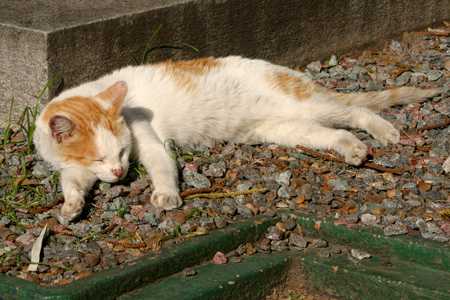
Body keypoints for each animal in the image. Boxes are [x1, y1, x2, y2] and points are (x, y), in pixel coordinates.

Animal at [34, 56, 440, 223]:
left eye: (121, 151)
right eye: (99, 159)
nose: (120, 173)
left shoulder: (146, 138)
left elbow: (162, 165)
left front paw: (166, 195)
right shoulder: (75, 168)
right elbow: (73, 182)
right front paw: (70, 208)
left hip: (305, 104)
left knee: (354, 112)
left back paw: (383, 131)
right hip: (288, 129)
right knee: (334, 133)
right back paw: (353, 149)